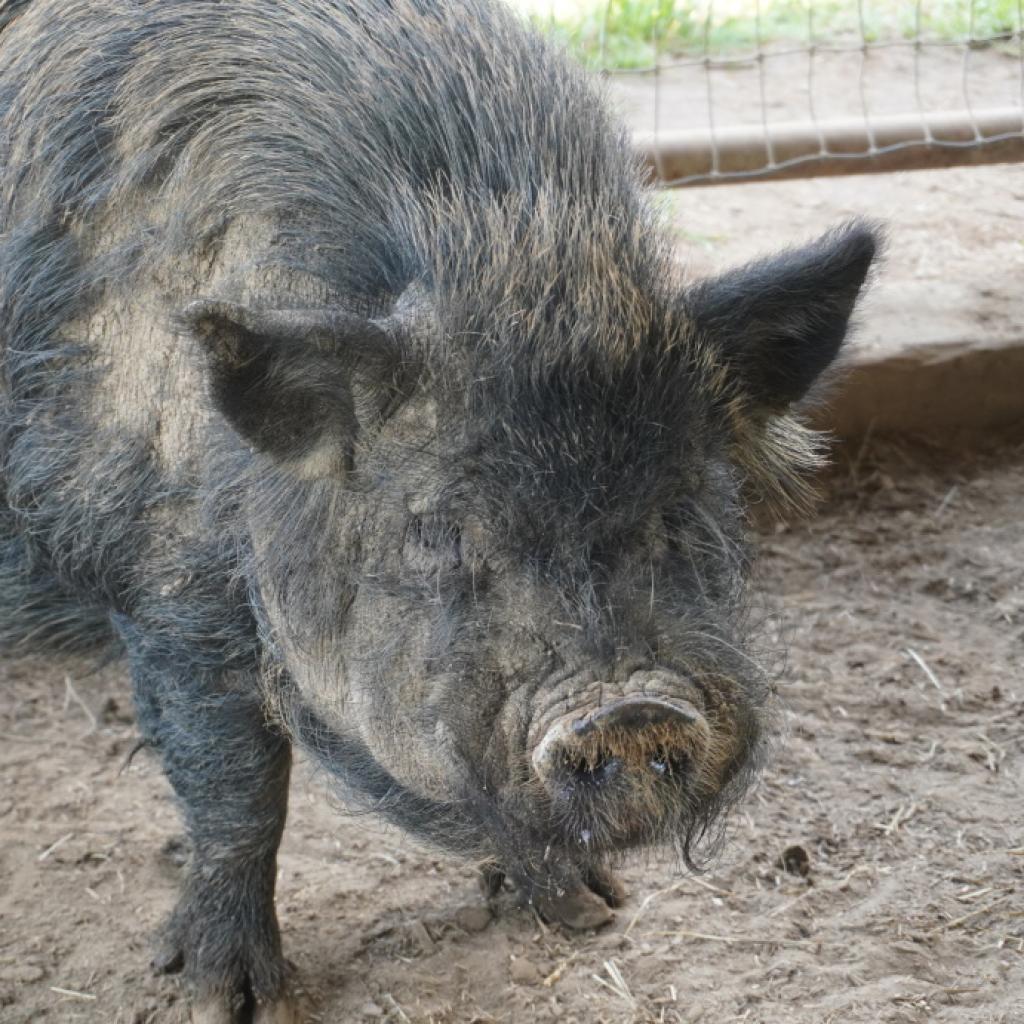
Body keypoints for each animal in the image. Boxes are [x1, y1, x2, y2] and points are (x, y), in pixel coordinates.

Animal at [0, 0, 877, 1020]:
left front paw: (592, 911)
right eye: (439, 530)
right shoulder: (166, 583)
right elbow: (238, 785)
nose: (631, 708)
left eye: (684, 507)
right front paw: (231, 999)